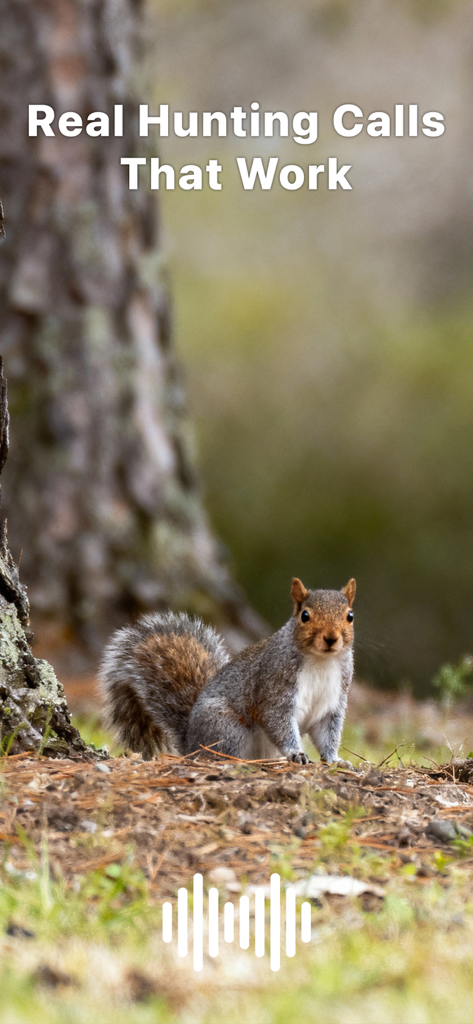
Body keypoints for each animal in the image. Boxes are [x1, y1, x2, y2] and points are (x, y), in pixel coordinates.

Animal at [99, 576, 356, 765]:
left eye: (350, 616)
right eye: (305, 616)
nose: (331, 638)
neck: (321, 661)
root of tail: (191, 743)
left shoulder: (333, 703)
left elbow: (328, 734)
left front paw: (335, 760)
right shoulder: (274, 686)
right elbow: (278, 722)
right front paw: (296, 754)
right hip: (228, 728)